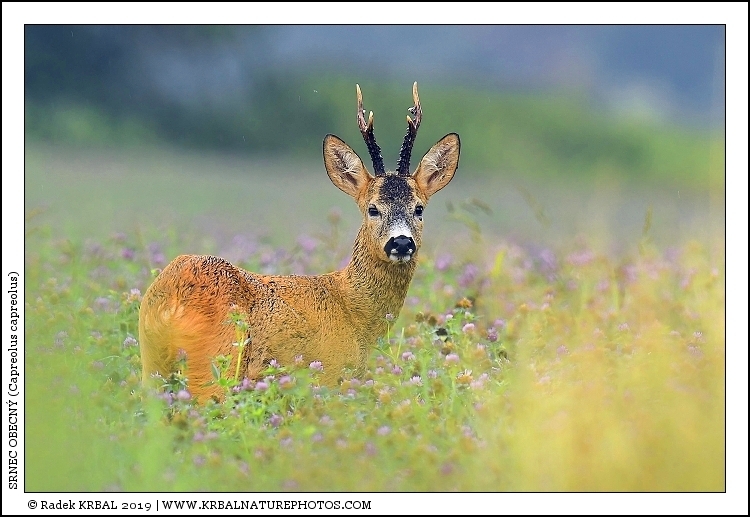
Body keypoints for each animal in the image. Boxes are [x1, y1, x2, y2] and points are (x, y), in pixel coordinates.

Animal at [138, 82, 460, 402]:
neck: (353, 310)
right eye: (373, 209)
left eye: (418, 208)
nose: (402, 243)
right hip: (217, 364)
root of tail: (171, 297)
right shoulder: (332, 375)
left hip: (153, 365)